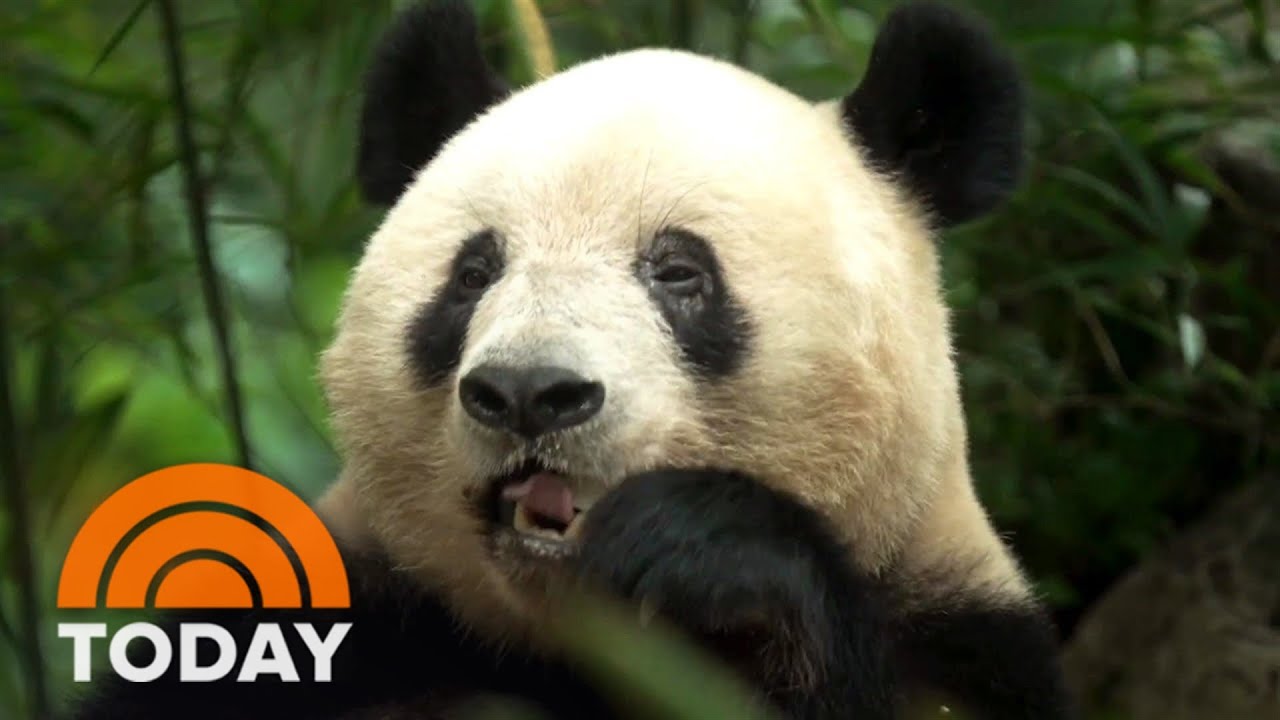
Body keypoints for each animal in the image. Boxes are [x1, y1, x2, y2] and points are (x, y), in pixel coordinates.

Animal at [72, 1, 1074, 718]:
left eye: (678, 272)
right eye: (474, 272)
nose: (527, 394)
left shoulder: (956, 629)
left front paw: (707, 550)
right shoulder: (336, 616)